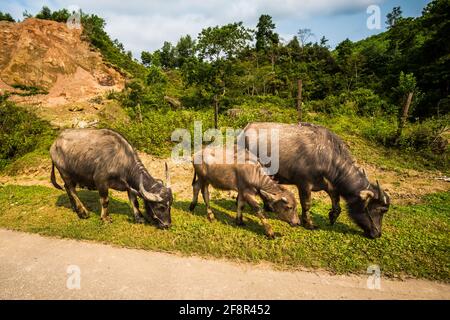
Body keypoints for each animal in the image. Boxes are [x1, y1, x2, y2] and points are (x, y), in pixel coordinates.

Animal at [244, 122, 388, 238]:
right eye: (379, 210)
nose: (378, 234)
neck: (325, 157)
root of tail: (246, 128)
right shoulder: (304, 184)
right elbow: (307, 204)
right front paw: (308, 223)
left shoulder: (330, 185)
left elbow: (336, 203)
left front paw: (332, 217)